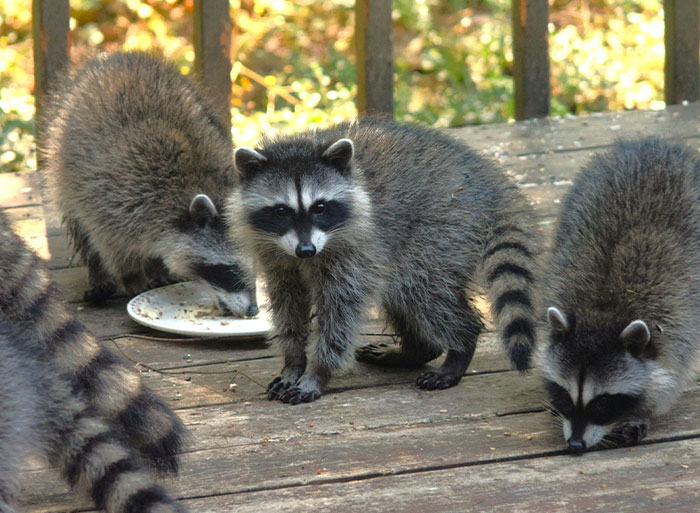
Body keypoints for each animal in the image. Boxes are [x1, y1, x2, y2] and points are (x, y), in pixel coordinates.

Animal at [42, 51, 257, 316]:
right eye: (230, 270)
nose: (254, 311)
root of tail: (119, 56)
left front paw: (158, 267)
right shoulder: (115, 195)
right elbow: (111, 243)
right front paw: (131, 274)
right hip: (63, 162)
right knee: (78, 223)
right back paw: (98, 271)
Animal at [228, 118, 539, 404]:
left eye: (320, 207)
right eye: (281, 211)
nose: (306, 250)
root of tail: (489, 179)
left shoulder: (356, 248)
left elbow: (341, 311)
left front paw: (317, 371)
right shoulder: (275, 255)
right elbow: (288, 303)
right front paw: (293, 361)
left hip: (443, 226)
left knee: (425, 291)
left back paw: (461, 345)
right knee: (404, 295)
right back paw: (417, 351)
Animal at [538, 137, 700, 452]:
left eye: (602, 402)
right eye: (566, 395)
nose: (575, 445)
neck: (602, 312)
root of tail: (653, 144)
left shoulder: (678, 319)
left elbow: (671, 374)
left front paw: (641, 412)